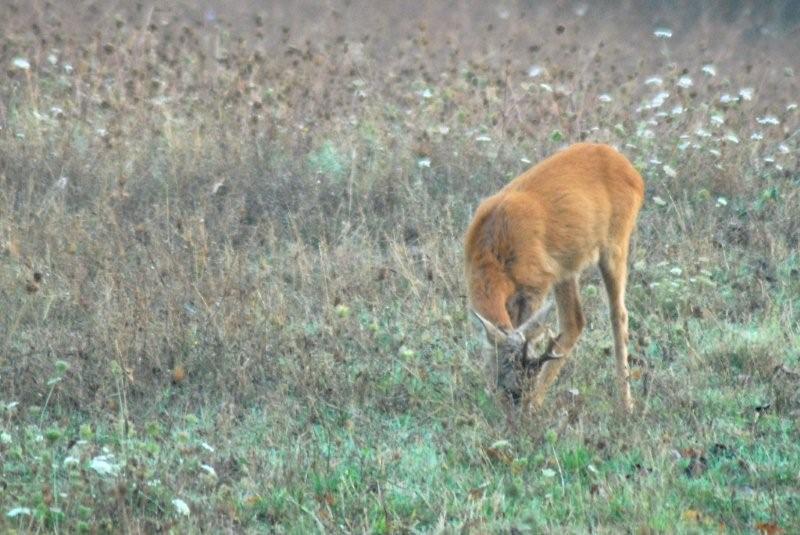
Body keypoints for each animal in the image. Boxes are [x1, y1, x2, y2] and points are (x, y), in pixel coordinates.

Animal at [462, 142, 644, 414]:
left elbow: (528, 330)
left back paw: (625, 404)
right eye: (506, 371)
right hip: (566, 267)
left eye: (527, 374)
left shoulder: (535, 285)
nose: (517, 401)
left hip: (615, 244)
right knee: (575, 322)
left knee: (618, 314)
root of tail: (633, 172)